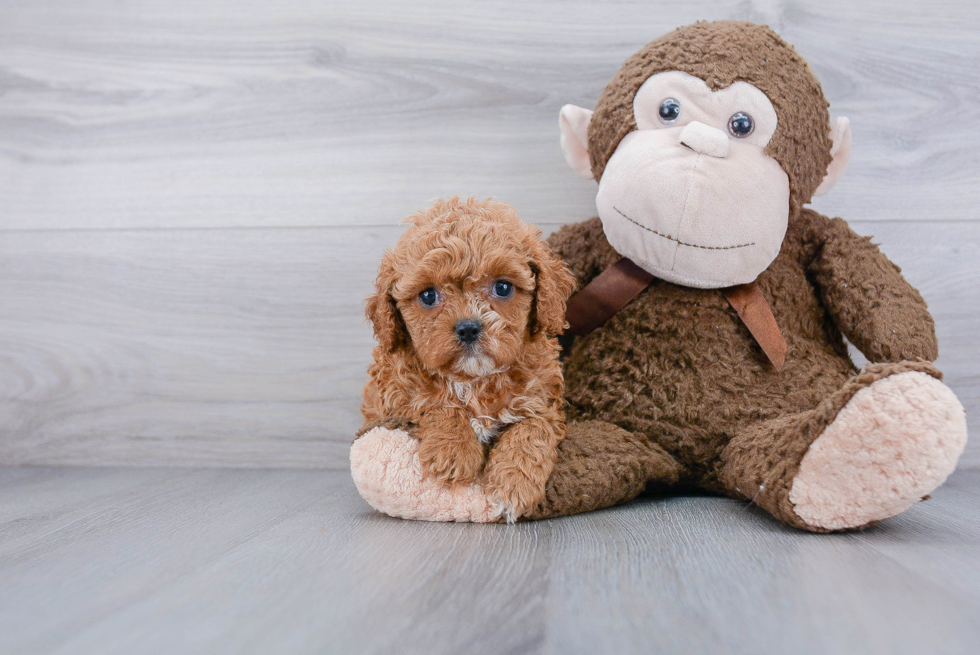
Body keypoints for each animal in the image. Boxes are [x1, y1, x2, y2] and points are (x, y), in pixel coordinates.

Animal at [360, 196, 576, 524]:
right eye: (428, 295)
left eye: (503, 287)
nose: (469, 328)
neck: (474, 380)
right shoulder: (394, 396)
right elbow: (436, 403)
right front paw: (453, 452)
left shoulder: (542, 399)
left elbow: (532, 428)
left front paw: (515, 482)